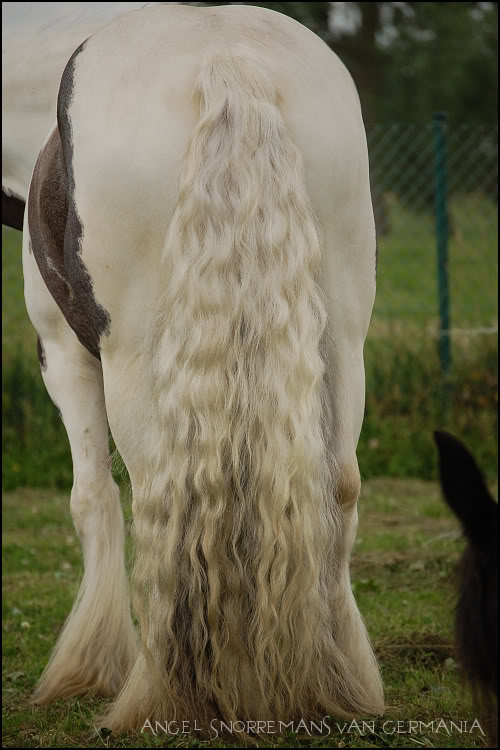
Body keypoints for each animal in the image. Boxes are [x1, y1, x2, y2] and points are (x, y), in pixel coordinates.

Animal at [22, 1, 382, 736]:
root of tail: (227, 56)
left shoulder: (62, 352)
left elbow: (91, 499)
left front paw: (85, 668)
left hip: (132, 356)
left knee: (159, 498)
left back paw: (162, 696)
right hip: (341, 333)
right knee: (339, 485)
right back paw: (337, 684)